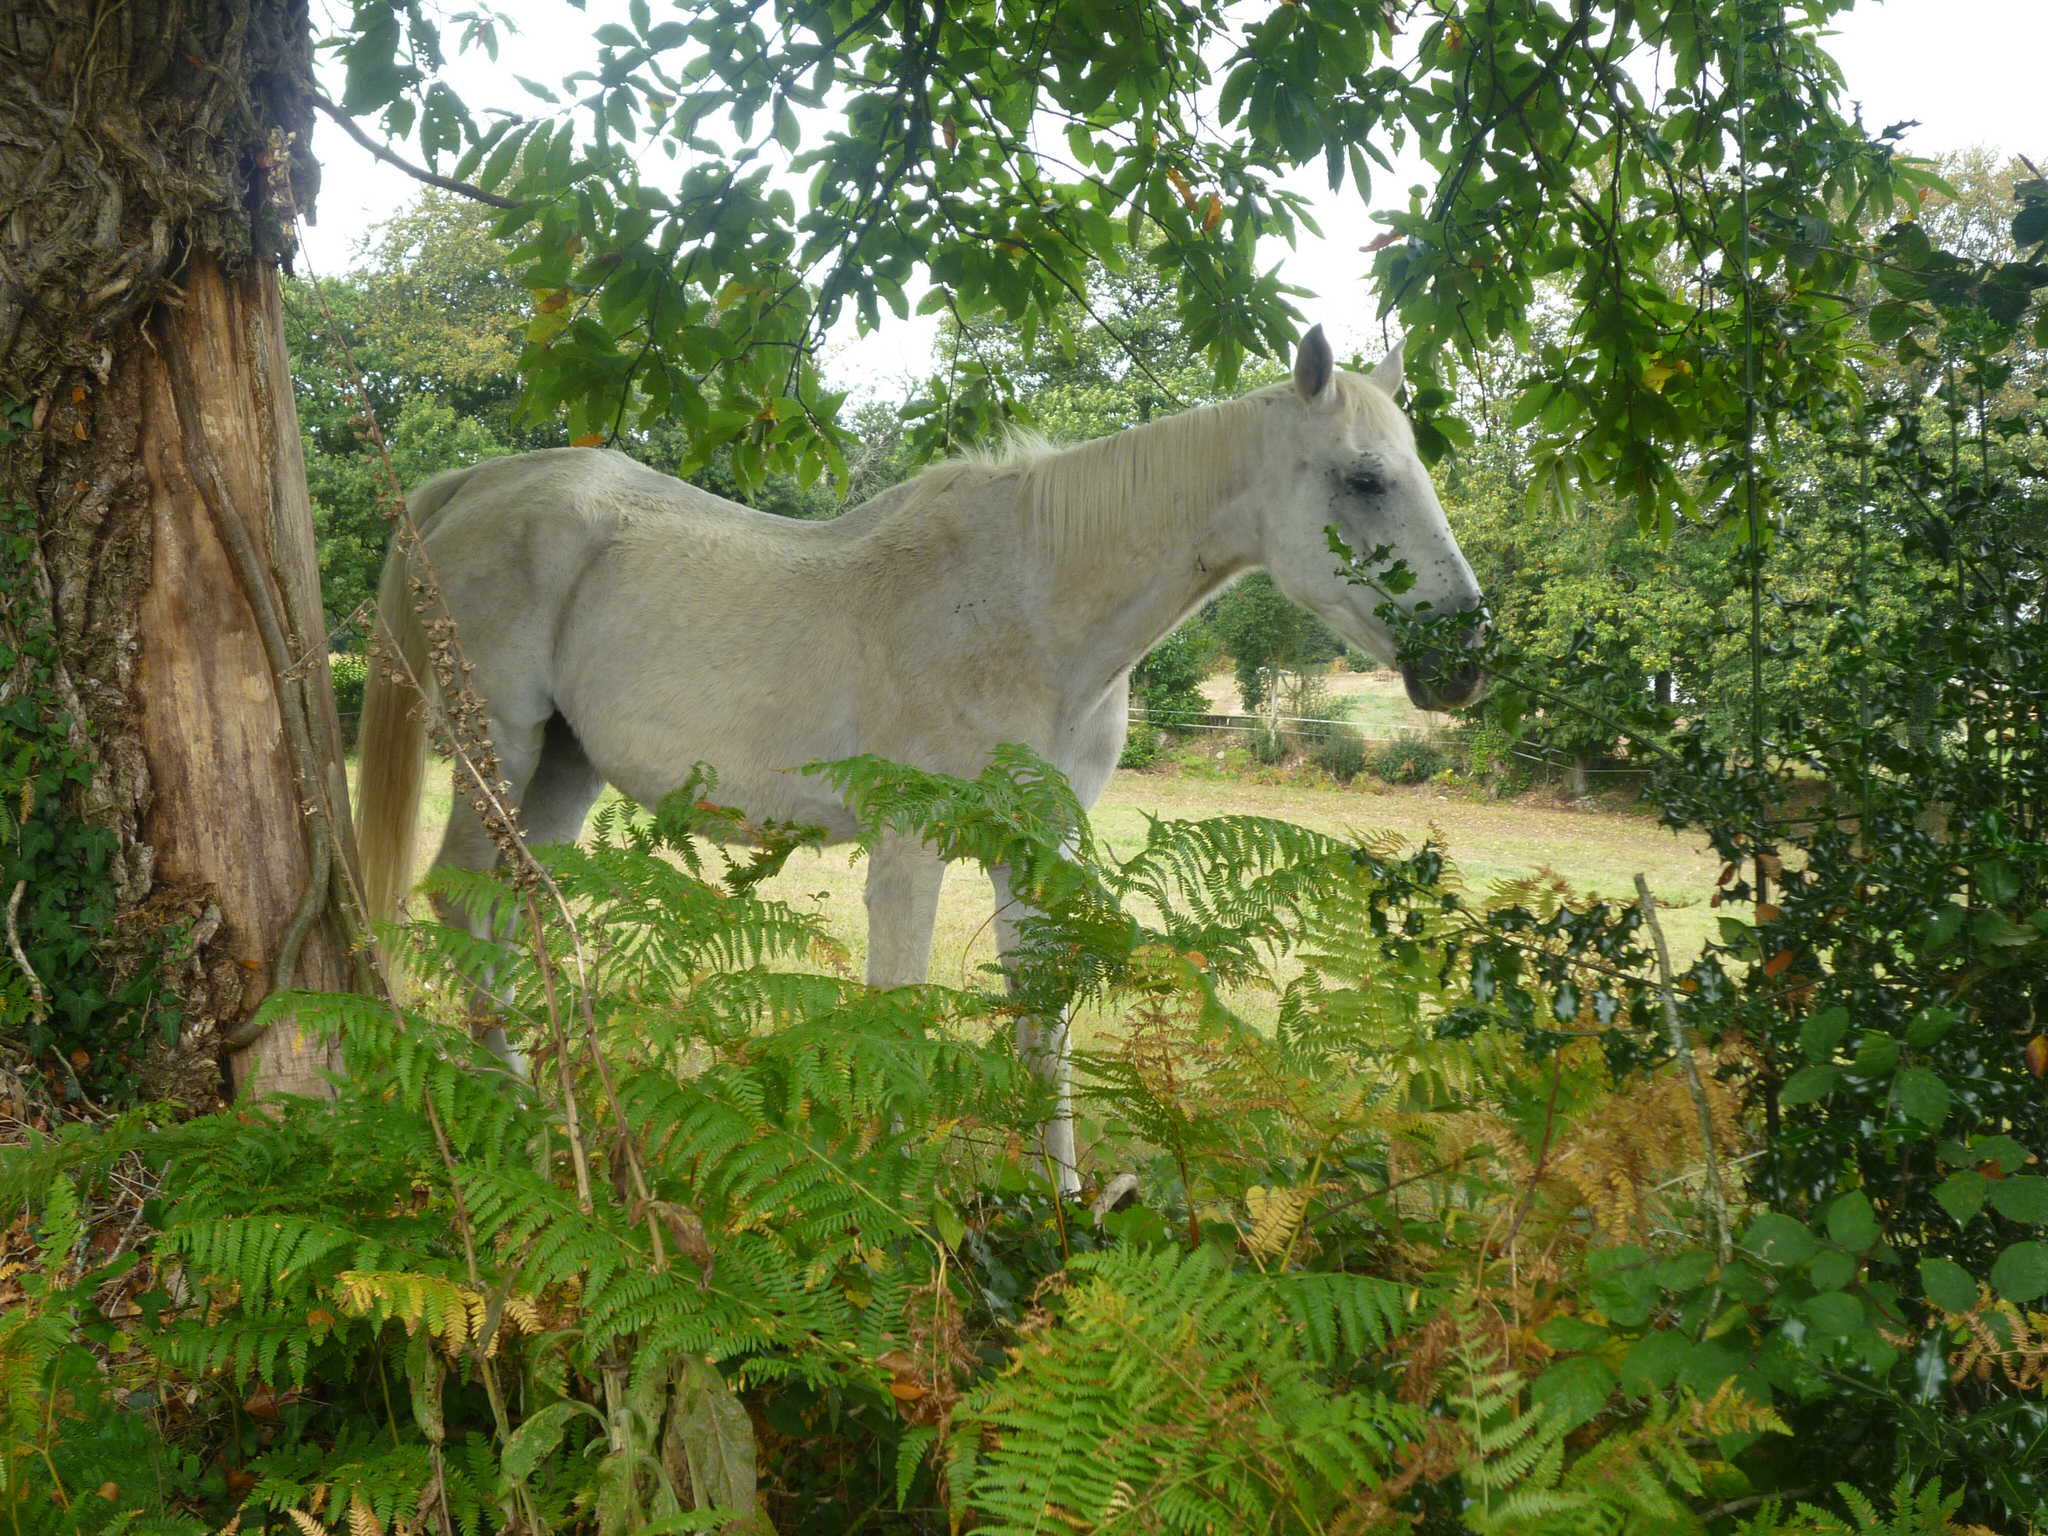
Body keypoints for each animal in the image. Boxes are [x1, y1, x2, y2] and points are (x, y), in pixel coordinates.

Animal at [348, 321, 1474, 1187]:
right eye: (1365, 478)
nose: (1466, 657)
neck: (1031, 604)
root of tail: (473, 486)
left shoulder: (1037, 848)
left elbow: (1041, 1025)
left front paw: (1057, 1210)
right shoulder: (909, 848)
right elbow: (893, 1013)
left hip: (563, 769)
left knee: (514, 920)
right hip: (500, 749)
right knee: (464, 907)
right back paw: (525, 1124)